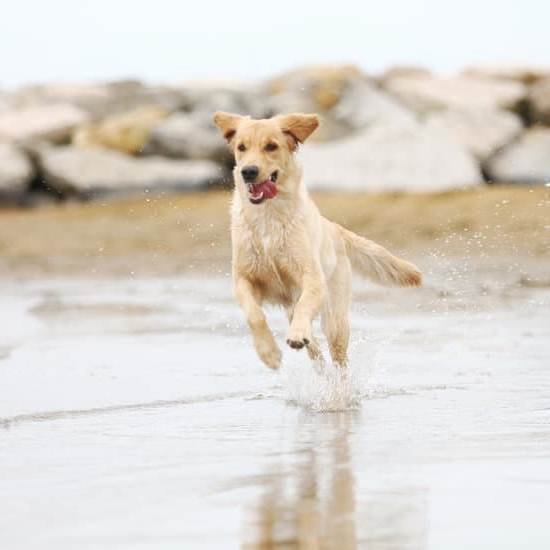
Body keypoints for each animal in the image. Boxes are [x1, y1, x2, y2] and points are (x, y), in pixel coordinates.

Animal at [213, 112, 420, 370]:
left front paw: (294, 336)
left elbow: (305, 306)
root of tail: (334, 227)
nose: (248, 171)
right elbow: (254, 315)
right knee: (316, 353)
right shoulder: (244, 278)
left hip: (335, 317)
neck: (269, 216)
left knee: (339, 358)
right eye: (241, 147)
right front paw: (269, 353)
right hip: (294, 310)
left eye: (271, 146)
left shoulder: (311, 278)